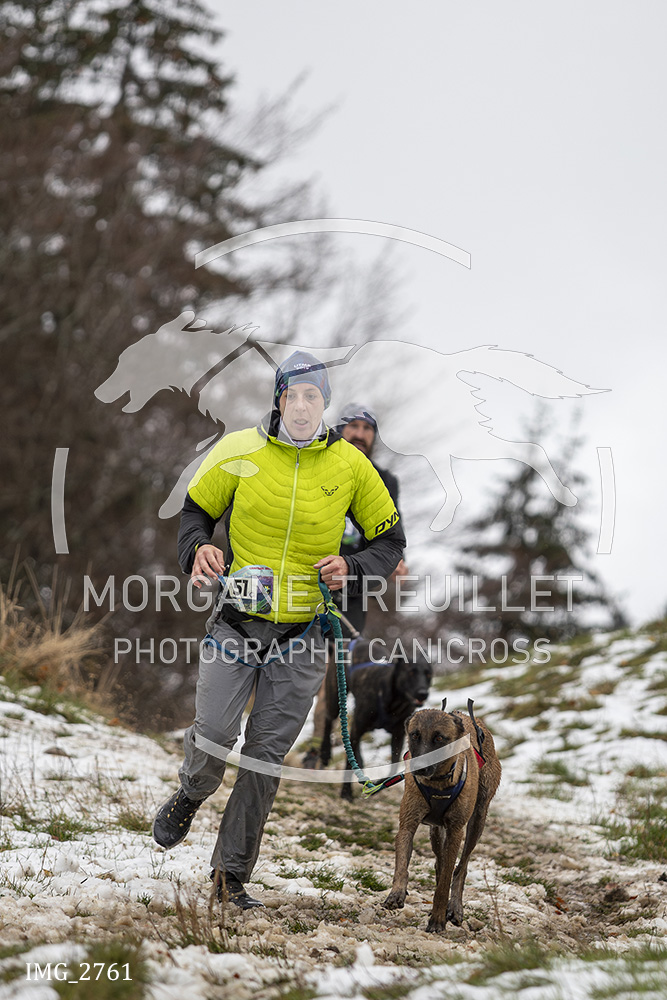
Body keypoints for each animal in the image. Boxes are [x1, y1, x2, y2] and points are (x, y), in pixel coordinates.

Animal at [319, 639, 433, 799]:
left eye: (428, 675)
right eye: (411, 672)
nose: (423, 693)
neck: (394, 701)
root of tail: (354, 640)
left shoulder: (398, 734)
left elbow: (393, 767)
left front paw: (379, 784)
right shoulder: (358, 727)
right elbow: (349, 763)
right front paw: (346, 792)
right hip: (336, 694)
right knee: (328, 720)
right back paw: (325, 752)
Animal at [383, 700, 501, 932]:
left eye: (439, 738)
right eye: (415, 735)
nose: (420, 767)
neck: (438, 782)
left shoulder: (456, 831)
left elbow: (447, 878)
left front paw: (438, 917)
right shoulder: (408, 824)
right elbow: (402, 865)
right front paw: (397, 893)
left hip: (477, 821)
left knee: (460, 867)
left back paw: (454, 907)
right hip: (436, 832)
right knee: (440, 861)